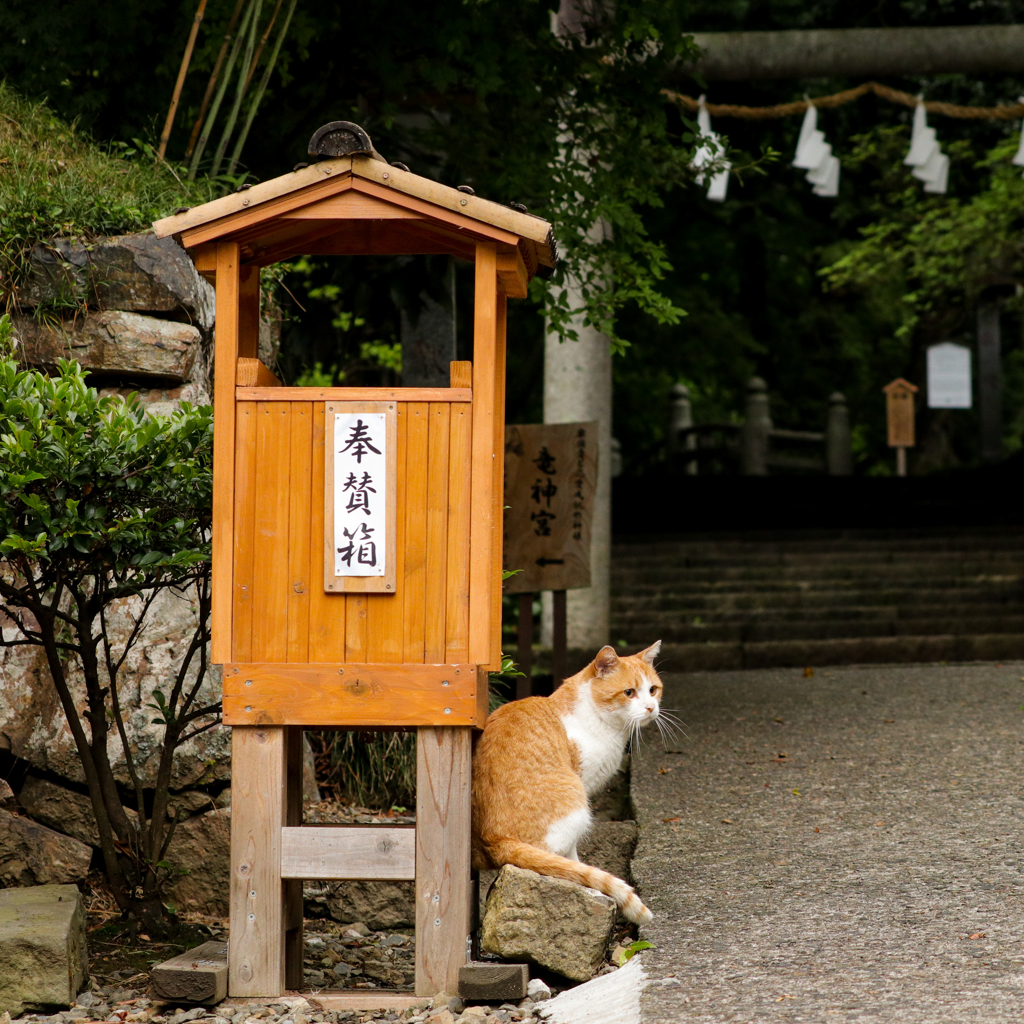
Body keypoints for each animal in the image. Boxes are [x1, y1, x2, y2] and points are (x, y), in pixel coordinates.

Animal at [471, 643, 663, 925]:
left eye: (653, 690)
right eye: (629, 693)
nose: (651, 708)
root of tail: (495, 839)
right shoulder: (582, 783)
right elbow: (571, 859)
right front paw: (584, 874)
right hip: (576, 803)